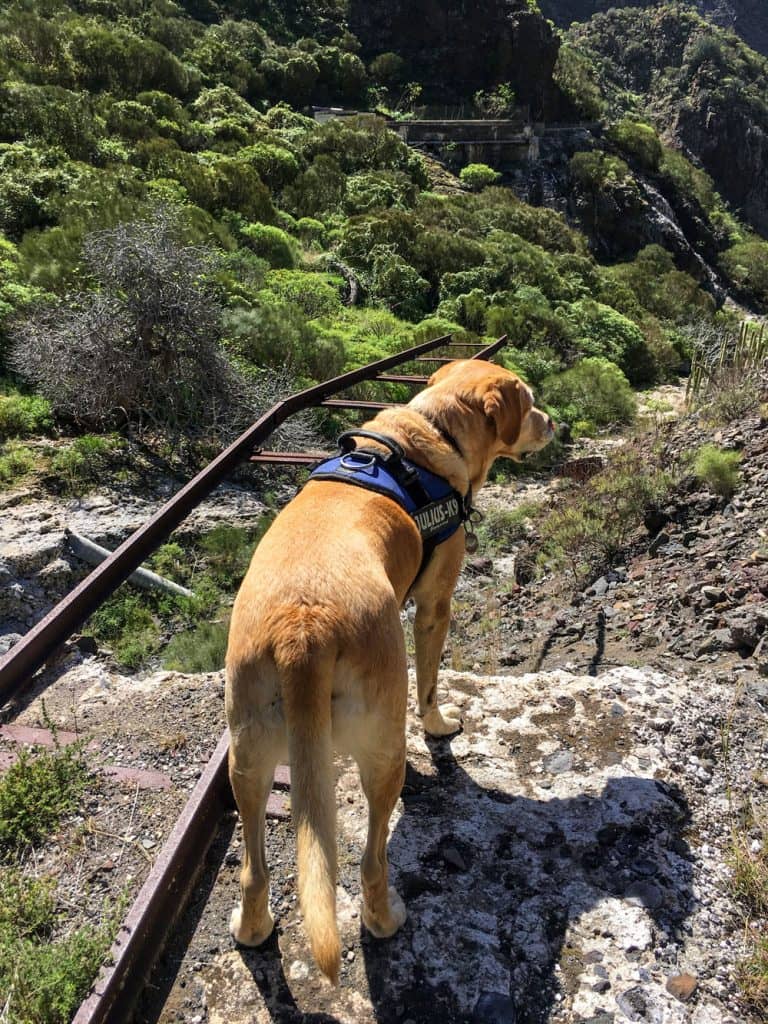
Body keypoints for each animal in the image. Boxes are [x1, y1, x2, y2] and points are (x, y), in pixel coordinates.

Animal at [225, 360, 557, 983]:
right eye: (528, 402)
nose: (555, 423)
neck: (432, 433)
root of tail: (301, 628)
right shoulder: (434, 604)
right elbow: (430, 683)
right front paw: (441, 724)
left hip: (246, 757)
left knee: (253, 869)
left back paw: (252, 927)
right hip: (383, 752)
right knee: (372, 859)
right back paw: (385, 918)